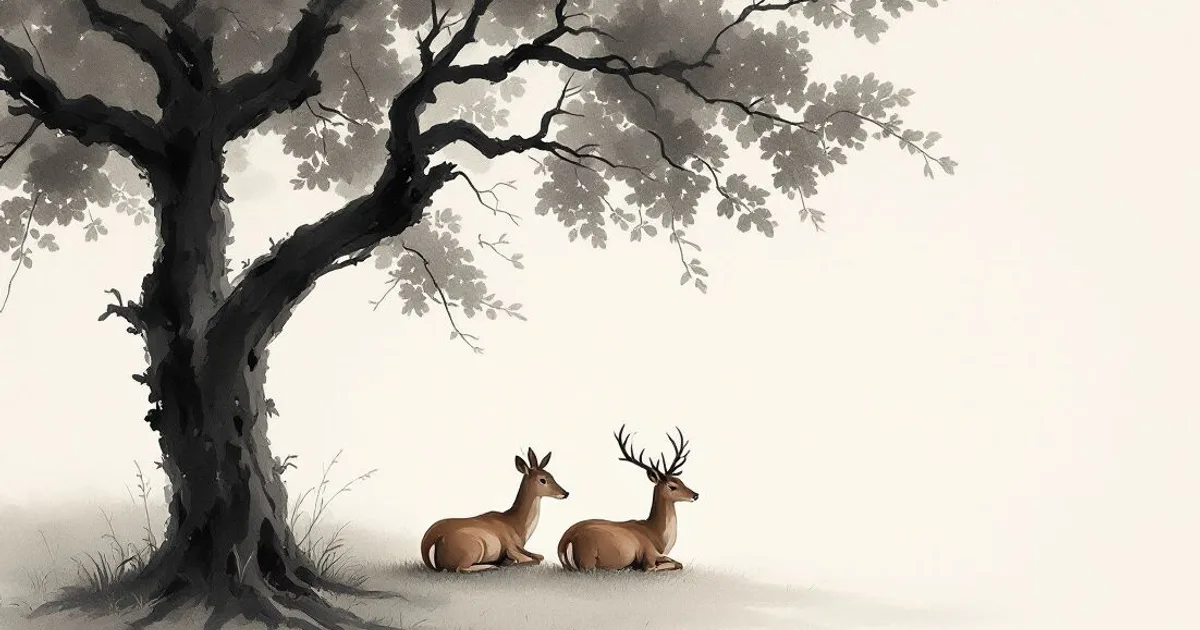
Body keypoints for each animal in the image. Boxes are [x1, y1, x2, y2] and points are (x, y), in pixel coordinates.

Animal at [420, 447, 569, 573]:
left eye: (552, 475)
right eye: (543, 480)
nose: (565, 493)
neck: (516, 525)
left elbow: (539, 556)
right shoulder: (511, 546)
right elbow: (536, 559)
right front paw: (509, 563)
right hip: (473, 548)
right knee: (460, 569)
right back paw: (491, 566)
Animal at [557, 425, 699, 572]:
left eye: (681, 481)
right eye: (672, 486)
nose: (695, 495)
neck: (656, 535)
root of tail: (565, 542)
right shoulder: (649, 553)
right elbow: (669, 565)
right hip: (589, 556)